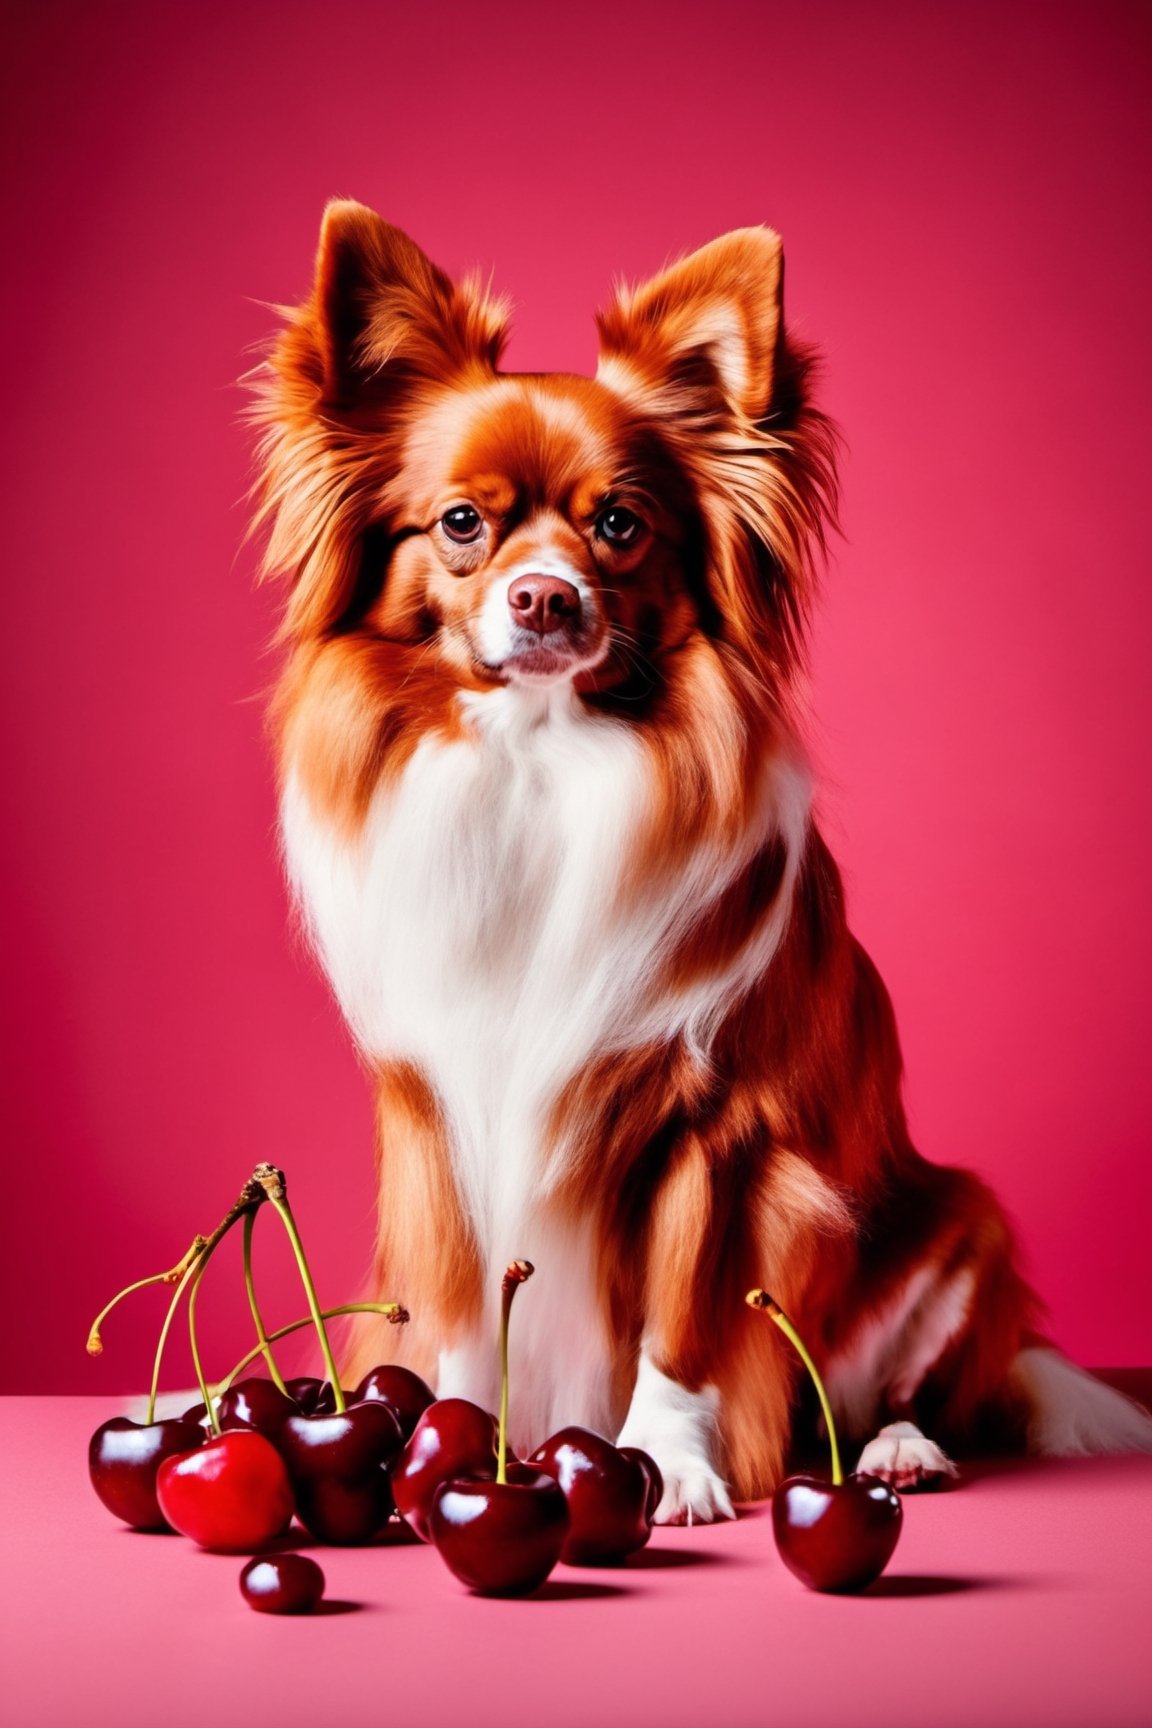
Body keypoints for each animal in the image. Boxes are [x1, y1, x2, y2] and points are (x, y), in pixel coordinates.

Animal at [252, 205, 1152, 1527]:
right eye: (461, 524)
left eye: (620, 526)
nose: (544, 597)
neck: (540, 766)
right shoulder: (440, 1118)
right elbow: (464, 1314)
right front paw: (452, 1442)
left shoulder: (716, 1134)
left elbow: (680, 1326)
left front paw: (670, 1464)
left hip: (957, 1226)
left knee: (897, 1398)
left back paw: (896, 1451)